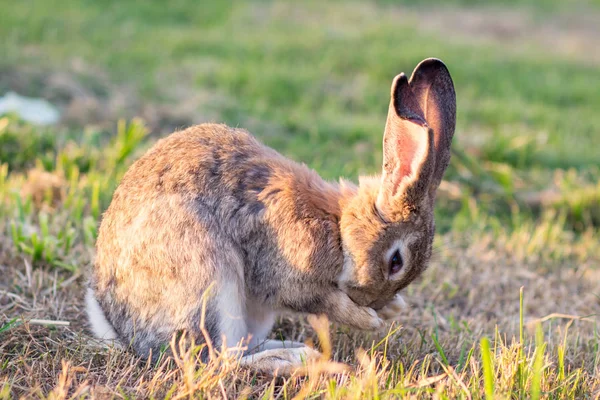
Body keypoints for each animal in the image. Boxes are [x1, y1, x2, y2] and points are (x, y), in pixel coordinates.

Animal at [86, 57, 458, 374]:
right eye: (396, 262)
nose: (373, 301)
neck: (338, 227)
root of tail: (123, 329)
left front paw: (393, 309)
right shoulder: (287, 273)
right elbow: (318, 301)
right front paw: (368, 319)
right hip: (208, 281)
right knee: (218, 360)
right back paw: (296, 359)